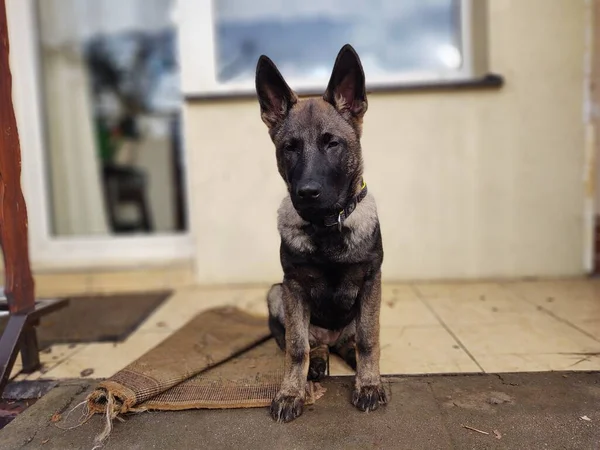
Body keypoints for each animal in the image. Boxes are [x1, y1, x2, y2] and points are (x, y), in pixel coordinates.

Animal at [253, 44, 384, 422]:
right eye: (290, 147)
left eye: (332, 144)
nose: (307, 193)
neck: (327, 226)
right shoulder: (294, 286)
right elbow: (296, 348)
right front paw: (291, 393)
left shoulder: (371, 281)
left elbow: (369, 340)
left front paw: (369, 384)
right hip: (276, 293)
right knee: (314, 344)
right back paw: (318, 363)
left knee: (353, 340)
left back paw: (350, 356)